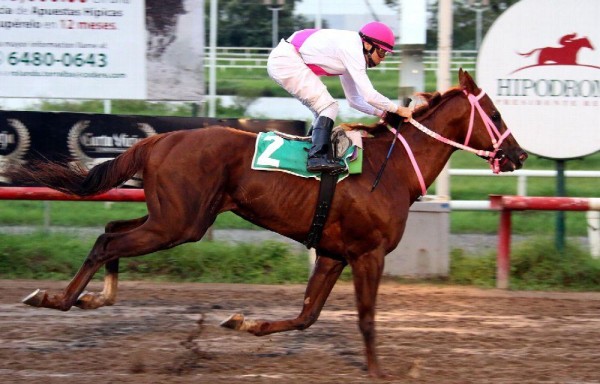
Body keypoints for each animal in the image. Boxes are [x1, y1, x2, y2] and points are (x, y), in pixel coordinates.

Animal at [2, 70, 524, 378]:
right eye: (496, 114)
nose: (518, 155)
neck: (388, 169)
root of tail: (158, 140)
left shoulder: (333, 254)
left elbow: (306, 315)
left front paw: (243, 321)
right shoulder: (367, 254)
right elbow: (366, 317)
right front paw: (380, 372)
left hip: (170, 215)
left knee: (111, 229)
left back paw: (94, 298)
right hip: (179, 224)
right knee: (106, 242)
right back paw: (58, 298)